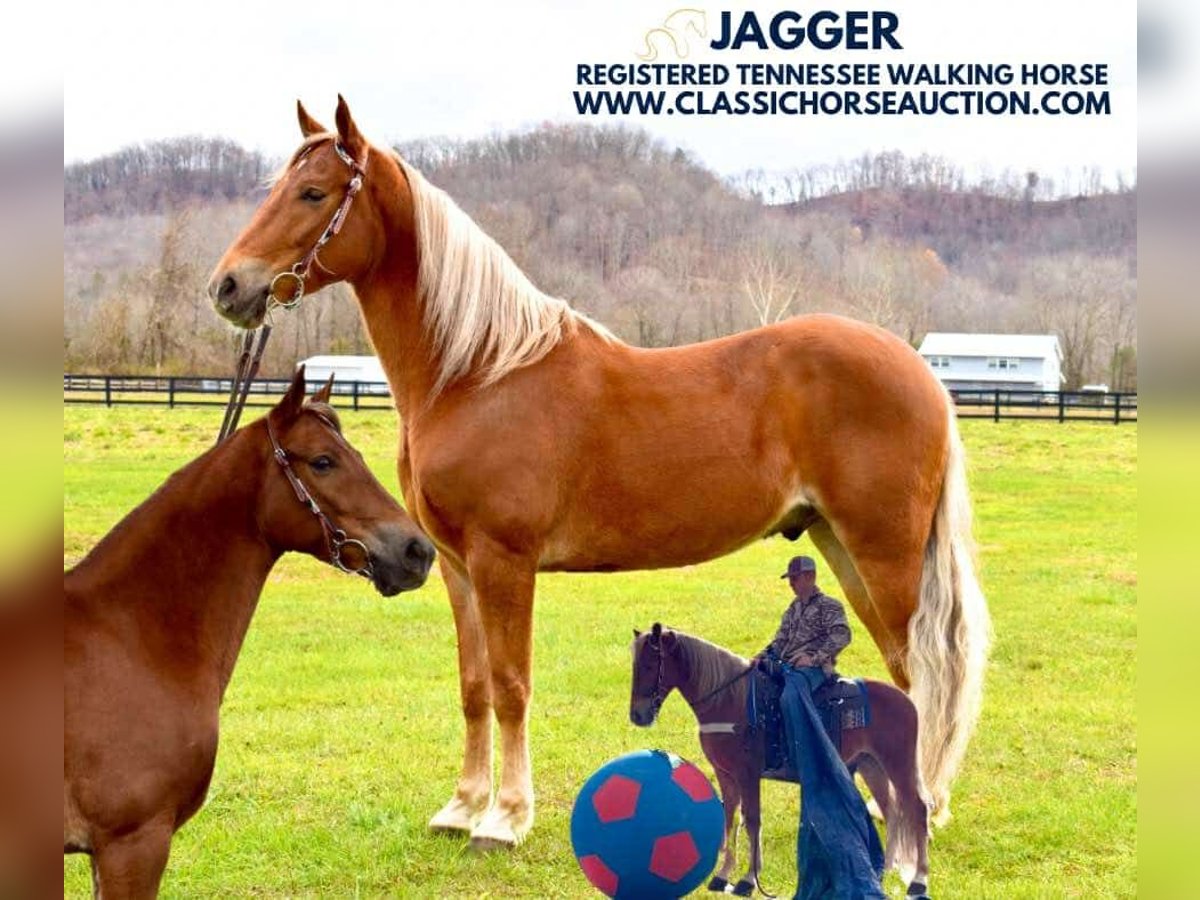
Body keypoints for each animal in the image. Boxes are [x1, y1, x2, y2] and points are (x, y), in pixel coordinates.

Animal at [208, 98, 993, 854]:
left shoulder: (503, 561)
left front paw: (504, 820)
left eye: (313, 193)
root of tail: (922, 373)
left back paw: (914, 809)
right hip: (841, 545)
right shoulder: (456, 565)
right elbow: (473, 685)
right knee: (899, 673)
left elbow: (511, 685)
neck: (478, 373)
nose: (228, 286)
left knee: (921, 674)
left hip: (884, 554)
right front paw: (461, 808)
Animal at [633, 628, 931, 900]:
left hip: (899, 764)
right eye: (634, 666)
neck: (730, 699)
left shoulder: (748, 774)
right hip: (872, 766)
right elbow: (730, 818)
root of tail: (906, 701)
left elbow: (752, 820)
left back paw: (919, 881)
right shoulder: (725, 774)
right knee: (891, 810)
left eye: (649, 665)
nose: (638, 715)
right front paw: (722, 875)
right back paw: (886, 869)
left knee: (917, 808)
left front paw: (748, 881)